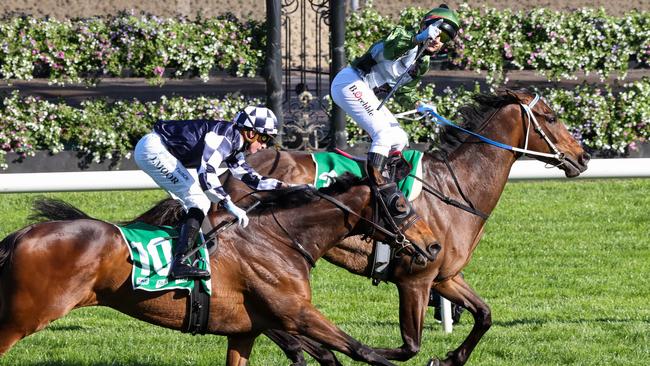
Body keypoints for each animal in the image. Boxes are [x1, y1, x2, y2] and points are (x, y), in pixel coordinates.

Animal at [0, 174, 438, 366]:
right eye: (400, 204)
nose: (434, 245)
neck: (277, 238)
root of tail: (19, 236)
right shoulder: (296, 313)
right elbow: (360, 349)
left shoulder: (252, 326)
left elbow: (321, 354)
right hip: (24, 317)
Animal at [220, 89, 588, 366]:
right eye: (551, 117)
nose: (583, 157)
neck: (457, 190)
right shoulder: (415, 279)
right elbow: (410, 346)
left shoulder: (445, 276)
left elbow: (484, 314)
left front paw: (449, 358)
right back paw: (307, 350)